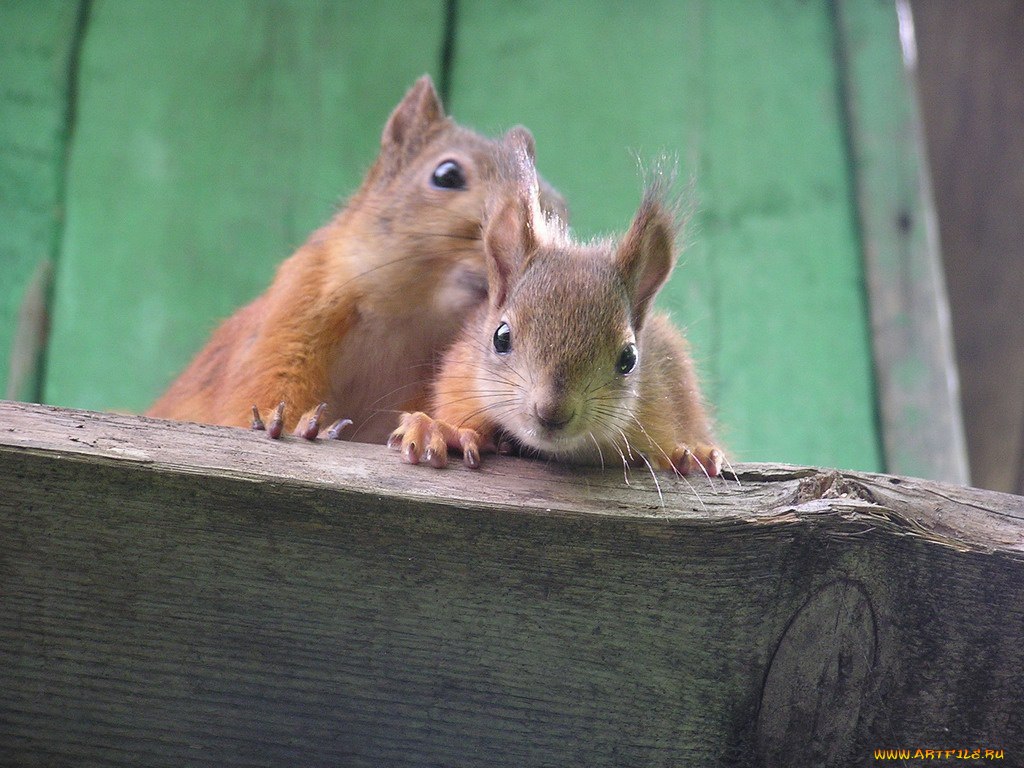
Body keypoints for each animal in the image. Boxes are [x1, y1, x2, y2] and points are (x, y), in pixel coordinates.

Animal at [147, 75, 569, 444]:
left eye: (560, 209)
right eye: (447, 175)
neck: (409, 319)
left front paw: (435, 430)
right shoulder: (294, 307)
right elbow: (265, 386)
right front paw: (284, 423)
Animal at [387, 135, 724, 479]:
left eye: (629, 358)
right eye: (500, 337)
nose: (552, 412)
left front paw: (687, 455)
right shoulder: (459, 377)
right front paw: (438, 431)